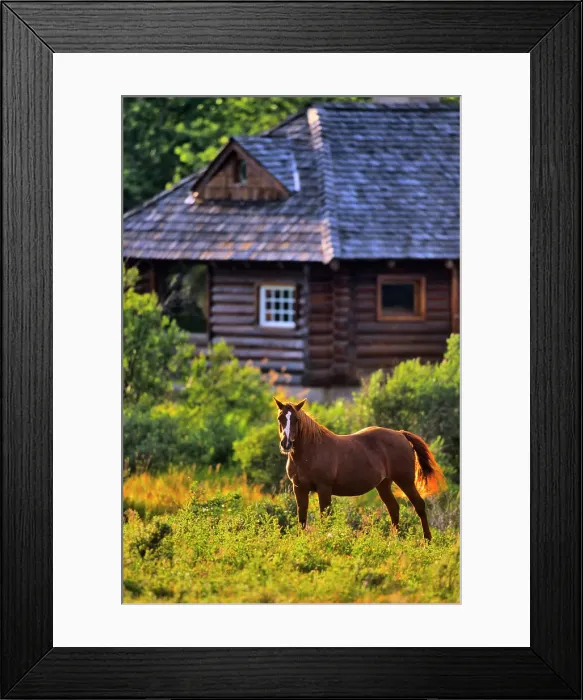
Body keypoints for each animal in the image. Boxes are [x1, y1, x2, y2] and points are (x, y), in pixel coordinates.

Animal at [273, 397, 446, 541]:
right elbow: (302, 517)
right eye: (280, 418)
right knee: (394, 508)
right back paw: (393, 541)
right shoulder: (299, 488)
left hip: (405, 481)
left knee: (419, 505)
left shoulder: (324, 488)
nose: (286, 444)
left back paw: (427, 541)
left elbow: (325, 517)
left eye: (296, 419)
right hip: (383, 484)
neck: (312, 450)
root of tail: (400, 434)